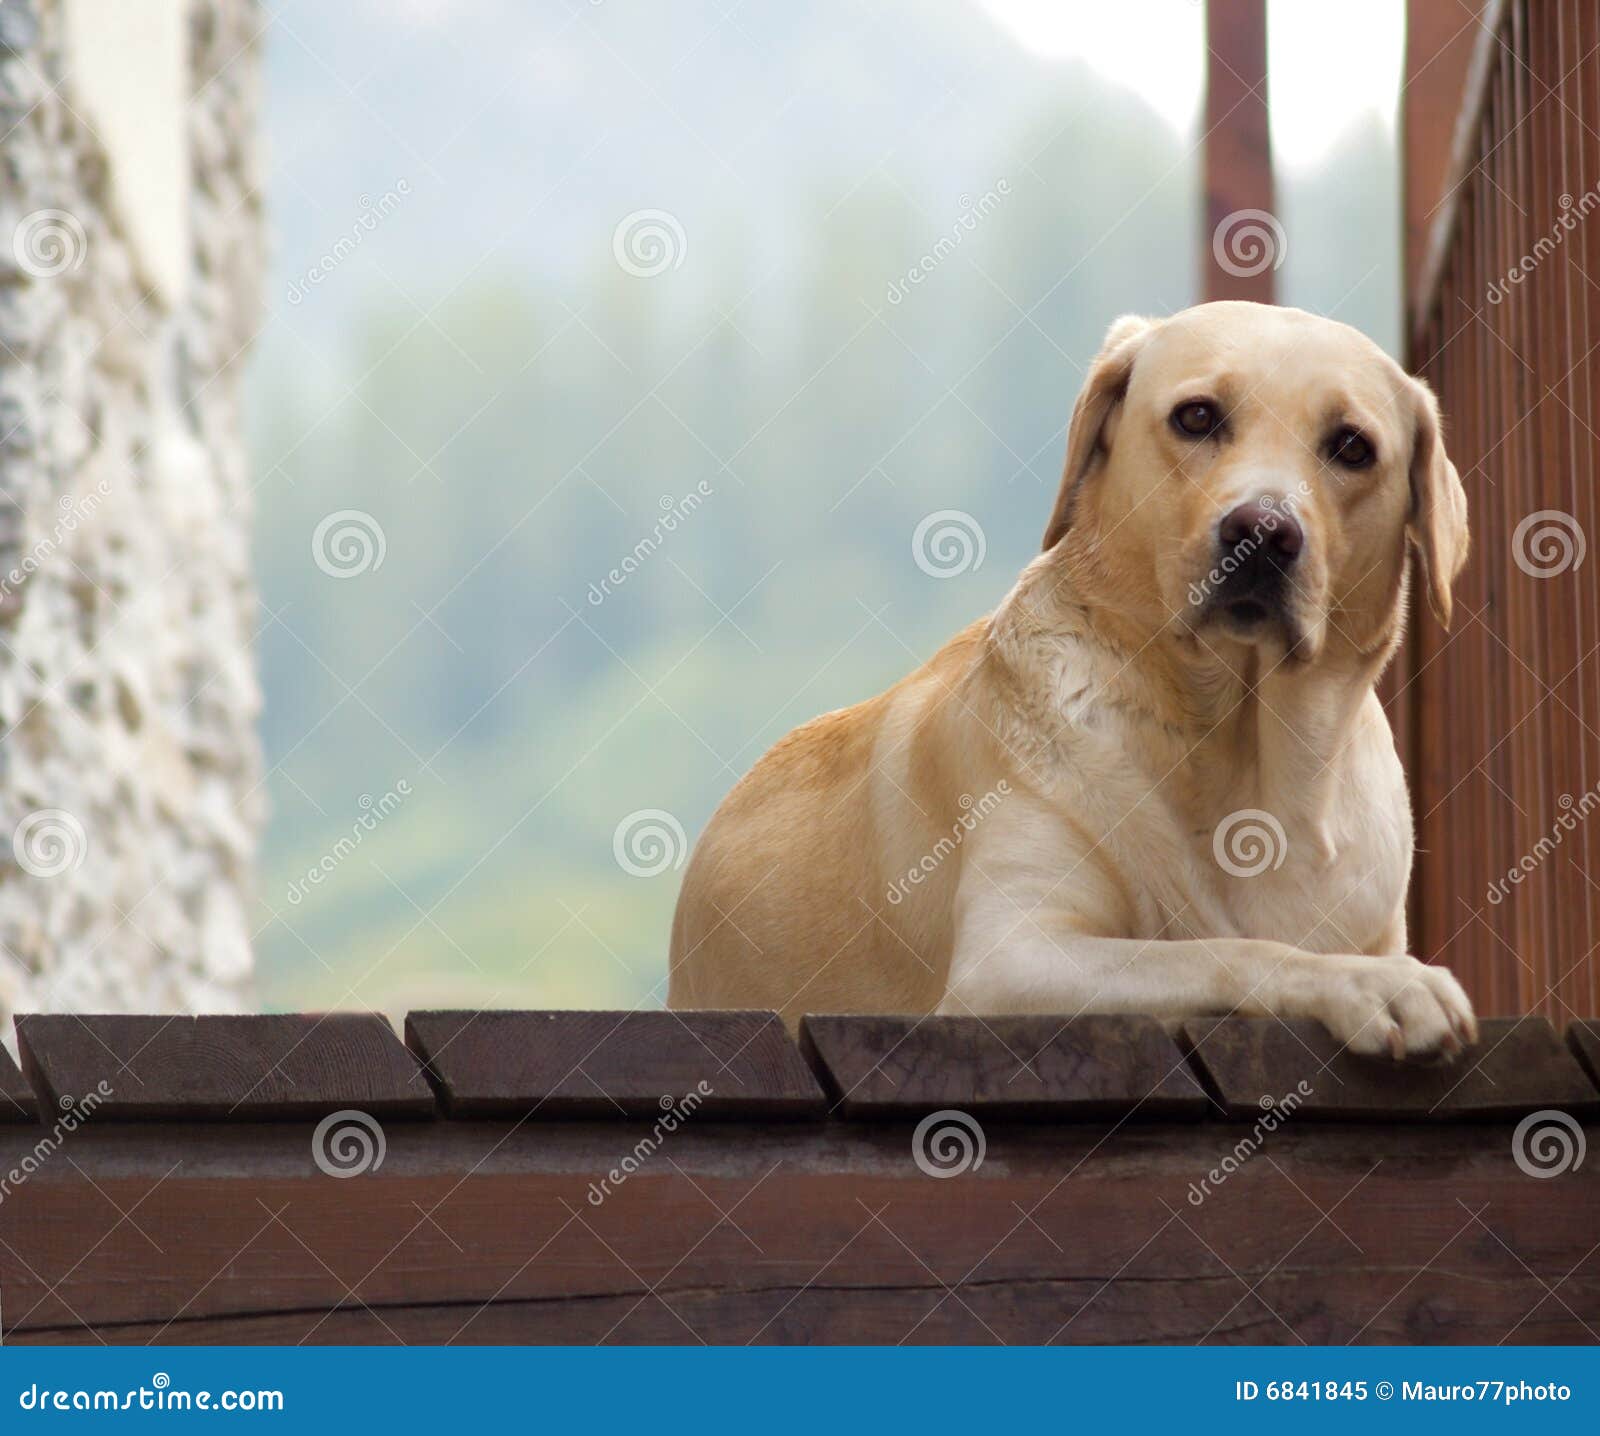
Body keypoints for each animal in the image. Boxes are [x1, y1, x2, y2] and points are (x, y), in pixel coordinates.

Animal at [665, 302, 1472, 1055]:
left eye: (1352, 447)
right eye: (1197, 417)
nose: (1264, 533)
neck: (1236, 748)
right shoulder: (1011, 959)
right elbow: (1217, 950)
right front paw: (1377, 985)